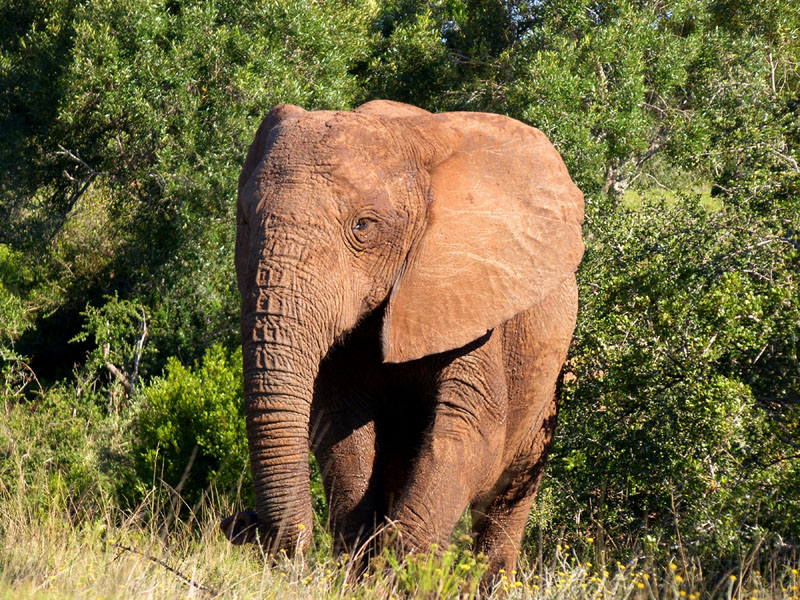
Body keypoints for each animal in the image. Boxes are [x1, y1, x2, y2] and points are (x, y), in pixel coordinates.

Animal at [222, 99, 584, 580]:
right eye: (243, 219)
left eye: (363, 226)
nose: (243, 523)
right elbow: (344, 429)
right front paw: (361, 574)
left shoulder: (469, 296)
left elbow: (471, 432)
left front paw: (398, 574)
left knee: (509, 494)